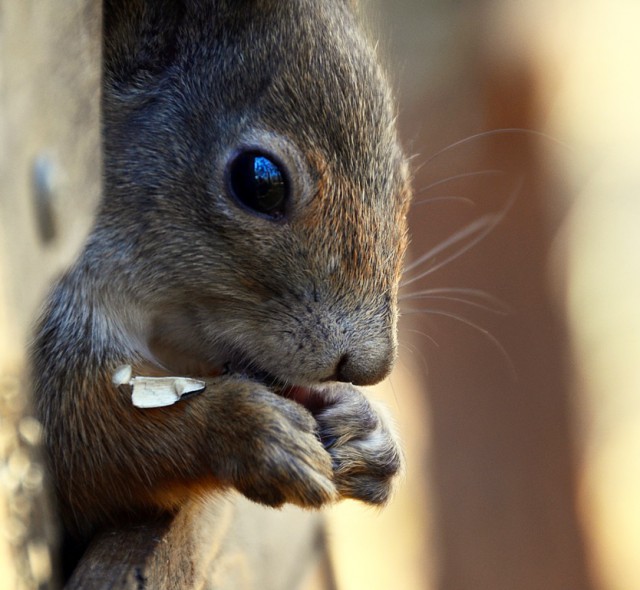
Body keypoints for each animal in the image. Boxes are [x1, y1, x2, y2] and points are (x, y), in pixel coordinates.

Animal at [31, 0, 410, 540]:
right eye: (260, 181)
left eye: (403, 179)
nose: (369, 368)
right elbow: (80, 433)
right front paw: (251, 429)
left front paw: (364, 427)